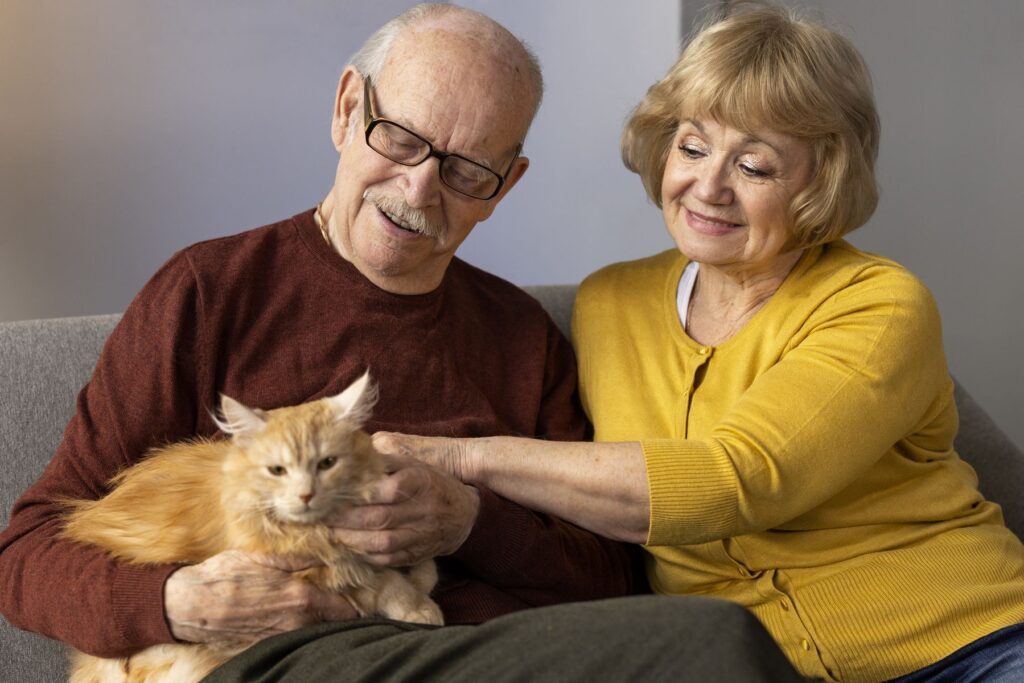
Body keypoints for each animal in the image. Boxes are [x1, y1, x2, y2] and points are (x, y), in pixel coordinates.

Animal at [57, 374, 440, 683]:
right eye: (277, 470)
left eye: (327, 463)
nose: (305, 494)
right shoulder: (315, 573)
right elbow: (385, 583)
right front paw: (422, 609)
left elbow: (416, 569)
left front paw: (423, 574)